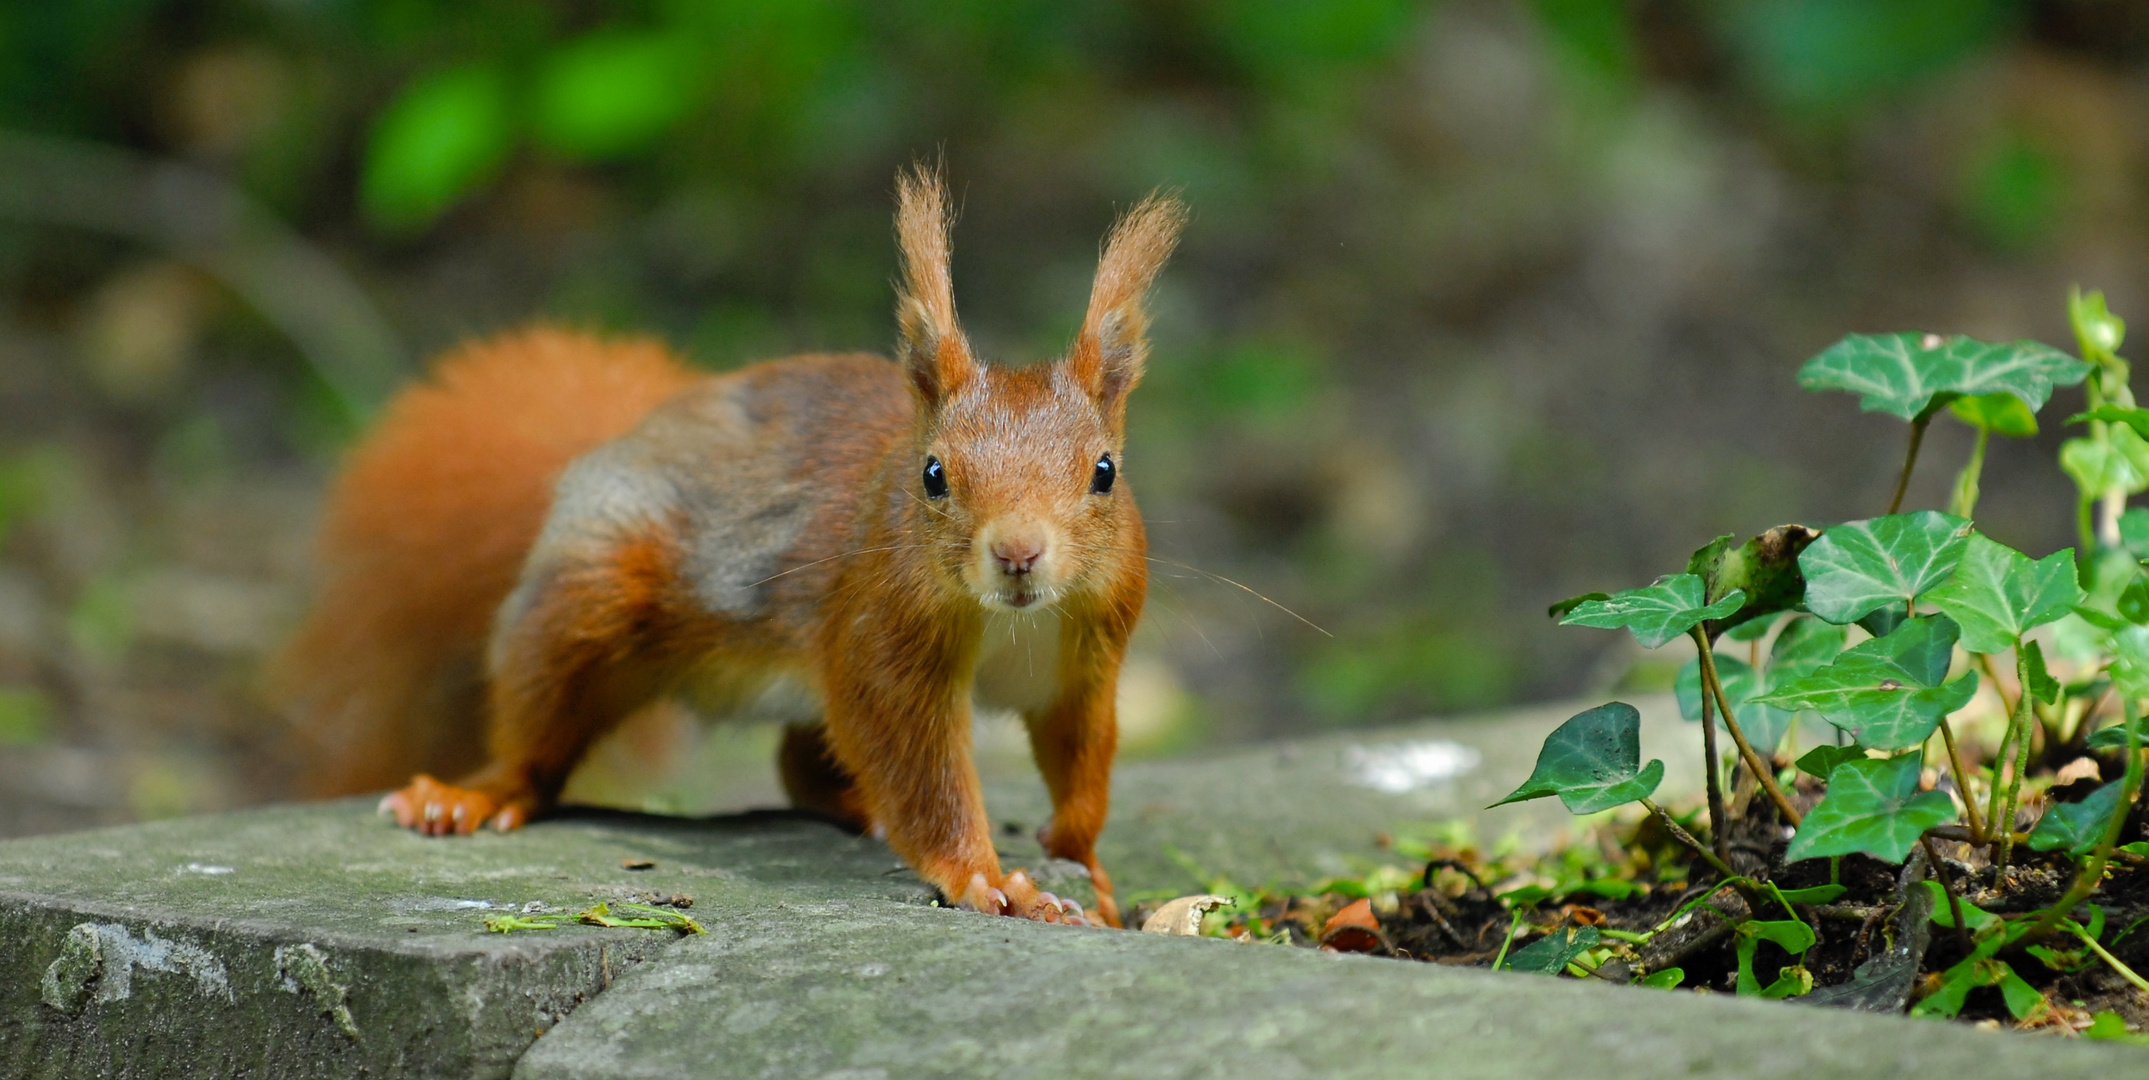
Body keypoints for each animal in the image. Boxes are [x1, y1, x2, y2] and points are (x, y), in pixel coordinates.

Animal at [275, 169, 1186, 931]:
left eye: (1105, 471)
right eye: (932, 475)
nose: (1019, 555)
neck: (1012, 620)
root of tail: (607, 452)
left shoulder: (1087, 656)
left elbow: (1082, 756)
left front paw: (1081, 860)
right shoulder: (878, 634)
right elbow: (915, 763)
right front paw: (990, 879)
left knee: (800, 761)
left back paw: (854, 811)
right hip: (589, 596)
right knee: (536, 728)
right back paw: (471, 796)